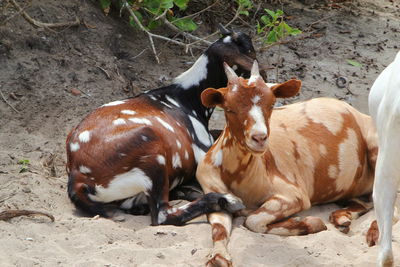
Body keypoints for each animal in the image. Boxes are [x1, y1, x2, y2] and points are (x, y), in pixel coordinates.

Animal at [65, 28, 258, 226]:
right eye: (251, 51)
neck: (187, 97)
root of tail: (77, 177)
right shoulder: (205, 154)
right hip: (152, 151)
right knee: (162, 215)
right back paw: (225, 200)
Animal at [198, 61, 380, 266]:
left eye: (271, 104)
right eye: (229, 108)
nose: (259, 138)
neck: (240, 176)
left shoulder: (293, 195)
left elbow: (253, 221)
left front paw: (309, 223)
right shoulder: (213, 194)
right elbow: (219, 229)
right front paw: (218, 256)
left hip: (376, 145)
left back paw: (374, 233)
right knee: (368, 201)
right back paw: (342, 218)